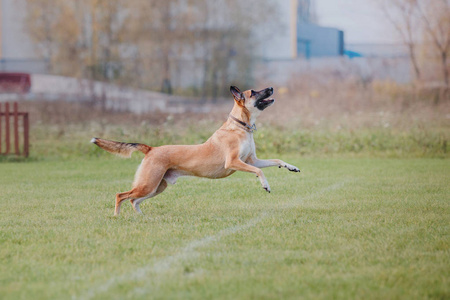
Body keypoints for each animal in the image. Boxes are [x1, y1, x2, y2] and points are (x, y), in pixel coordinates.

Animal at [92, 86, 298, 216]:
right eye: (253, 92)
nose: (271, 88)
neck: (239, 126)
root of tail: (151, 149)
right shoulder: (234, 162)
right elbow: (259, 171)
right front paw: (265, 185)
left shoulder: (251, 160)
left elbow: (276, 161)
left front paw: (291, 167)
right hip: (149, 184)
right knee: (121, 196)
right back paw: (117, 216)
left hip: (157, 186)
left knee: (134, 200)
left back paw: (141, 217)